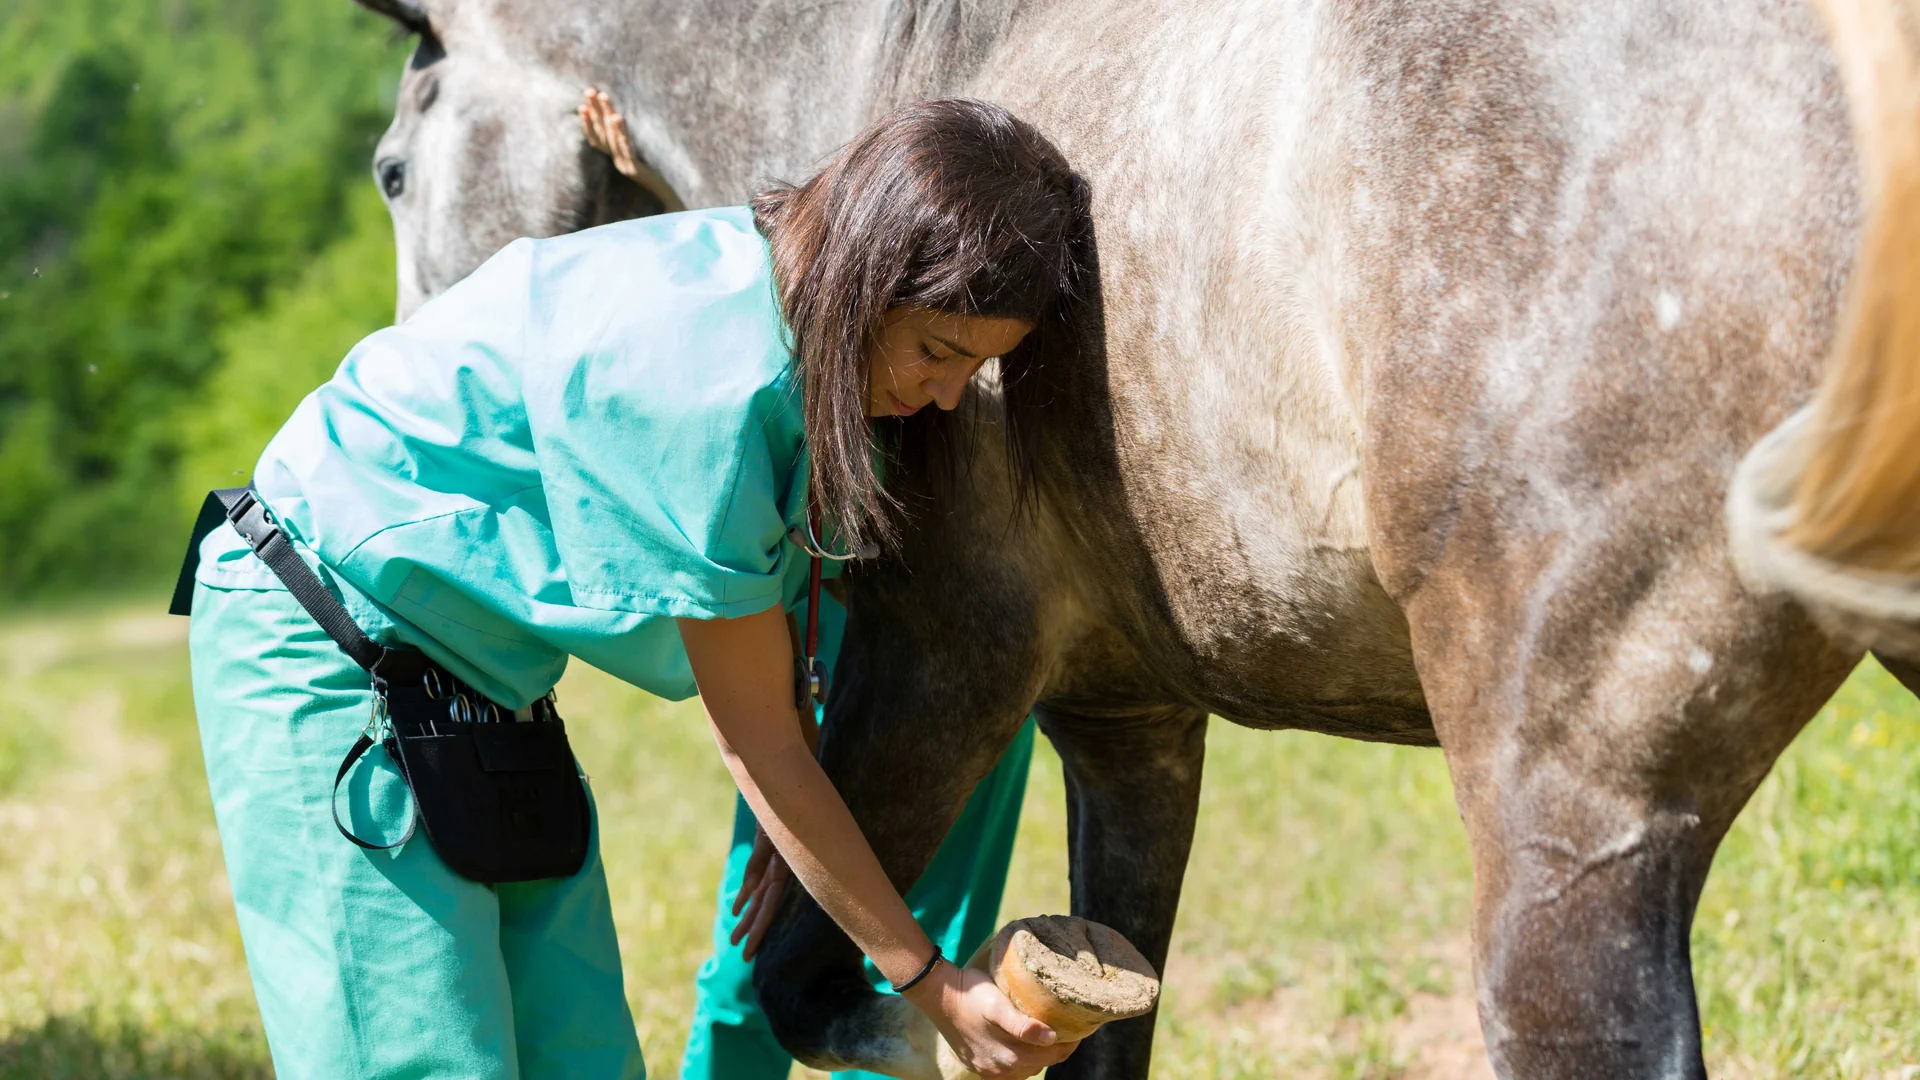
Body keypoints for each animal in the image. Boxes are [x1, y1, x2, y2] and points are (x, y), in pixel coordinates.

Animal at [349, 0, 1920, 1068]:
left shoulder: (940, 667)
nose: (402, 372)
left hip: (1573, 825)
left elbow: (811, 982)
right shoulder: (1130, 730)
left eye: (388, 171)